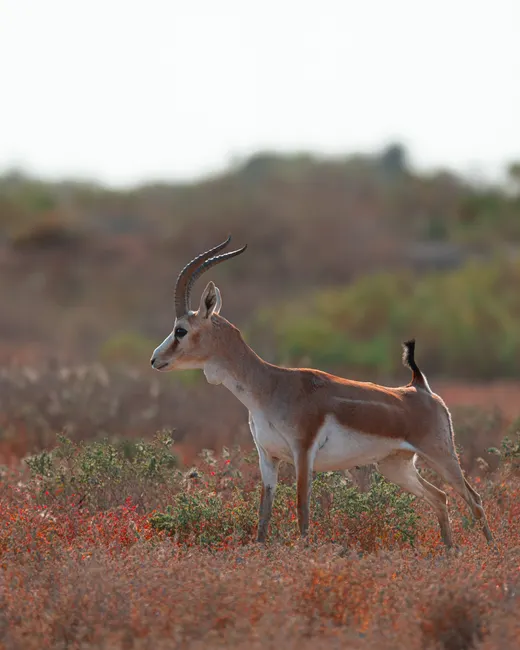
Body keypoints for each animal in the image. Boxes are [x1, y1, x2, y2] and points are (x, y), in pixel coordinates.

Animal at [151, 236, 494, 549]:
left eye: (181, 330)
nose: (155, 359)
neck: (270, 386)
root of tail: (419, 387)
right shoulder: (267, 457)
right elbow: (264, 514)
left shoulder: (303, 453)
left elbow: (302, 508)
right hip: (396, 466)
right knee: (440, 498)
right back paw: (449, 553)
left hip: (441, 455)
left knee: (474, 499)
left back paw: (490, 552)